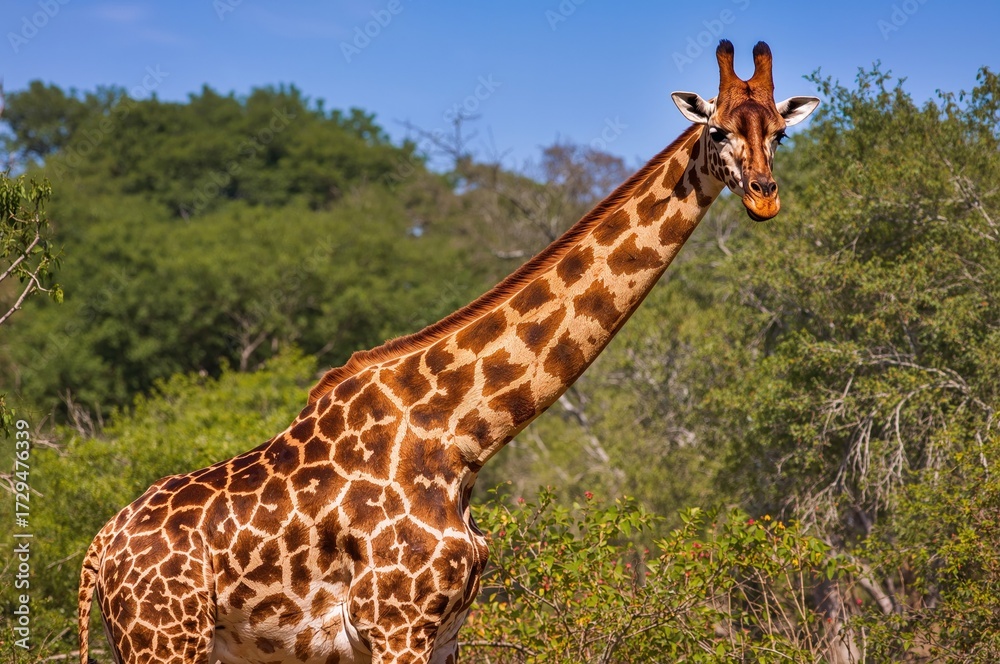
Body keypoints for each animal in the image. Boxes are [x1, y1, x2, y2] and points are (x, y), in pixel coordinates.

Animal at [78, 40, 818, 664]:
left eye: (778, 133)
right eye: (717, 130)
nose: (763, 198)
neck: (464, 433)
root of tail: (99, 551)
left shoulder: (446, 631)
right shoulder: (395, 624)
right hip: (165, 639)